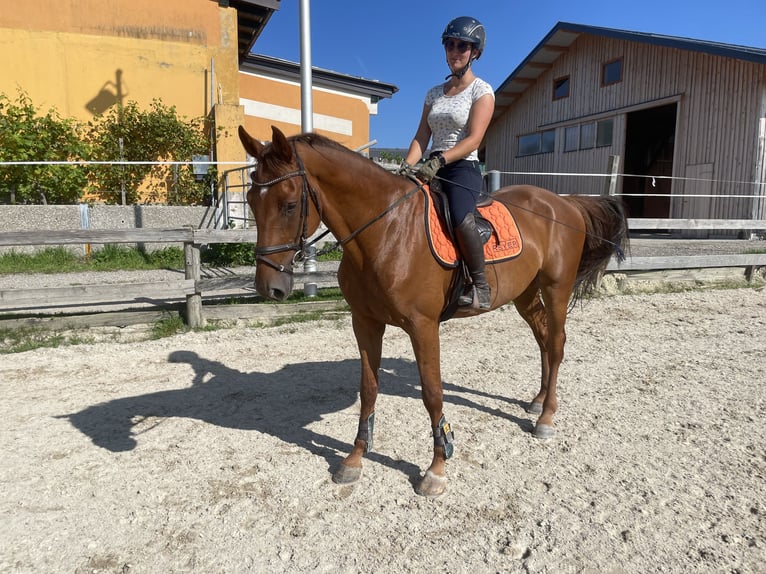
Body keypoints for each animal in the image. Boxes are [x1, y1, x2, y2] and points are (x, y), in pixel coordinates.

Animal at [240, 127, 632, 500]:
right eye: (250, 201)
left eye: (290, 204)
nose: (269, 287)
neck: (386, 231)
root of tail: (564, 203)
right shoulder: (364, 322)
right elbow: (368, 387)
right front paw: (354, 459)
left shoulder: (423, 326)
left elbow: (432, 392)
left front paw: (437, 467)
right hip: (524, 294)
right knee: (544, 340)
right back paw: (537, 403)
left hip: (556, 289)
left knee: (557, 342)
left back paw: (547, 417)